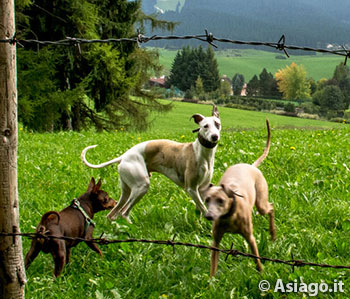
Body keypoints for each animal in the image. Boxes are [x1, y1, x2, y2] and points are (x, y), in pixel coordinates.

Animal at [80, 105, 220, 223]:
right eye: (205, 126)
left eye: (217, 124)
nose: (214, 137)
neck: (202, 152)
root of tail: (123, 156)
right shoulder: (191, 188)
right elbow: (203, 208)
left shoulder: (201, 189)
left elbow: (200, 209)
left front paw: (200, 223)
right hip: (141, 186)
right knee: (124, 212)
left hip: (126, 190)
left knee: (113, 213)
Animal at [204, 119, 274, 276]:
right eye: (207, 200)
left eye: (221, 201)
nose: (209, 216)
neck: (229, 216)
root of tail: (251, 166)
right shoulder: (216, 241)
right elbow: (212, 266)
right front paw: (211, 281)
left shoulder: (250, 237)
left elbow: (256, 258)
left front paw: (262, 272)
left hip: (261, 203)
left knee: (271, 208)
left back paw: (273, 234)